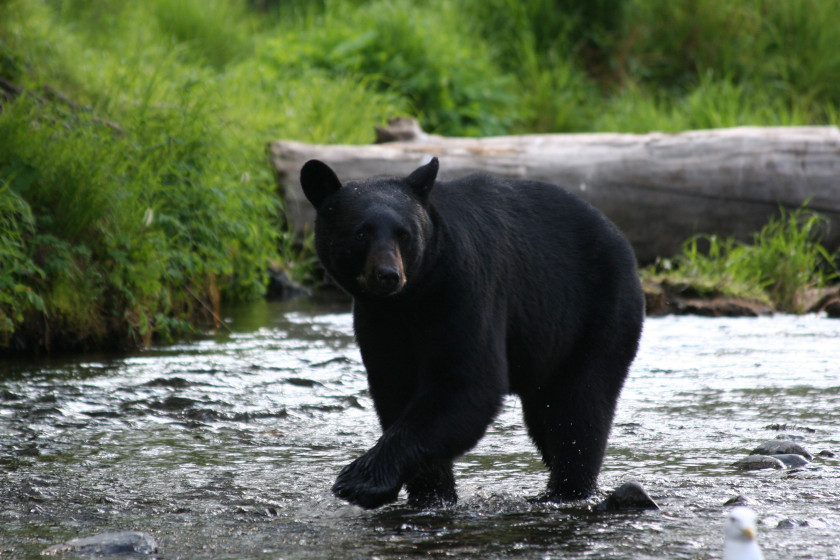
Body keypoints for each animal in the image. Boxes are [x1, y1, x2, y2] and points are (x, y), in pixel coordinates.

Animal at [300, 155, 644, 510]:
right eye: (361, 233)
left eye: (404, 234)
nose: (388, 275)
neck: (412, 299)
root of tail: (619, 236)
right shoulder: (378, 320)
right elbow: (395, 387)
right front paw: (431, 493)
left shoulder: (464, 289)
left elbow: (467, 384)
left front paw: (361, 480)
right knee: (547, 415)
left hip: (599, 312)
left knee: (579, 407)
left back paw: (568, 491)